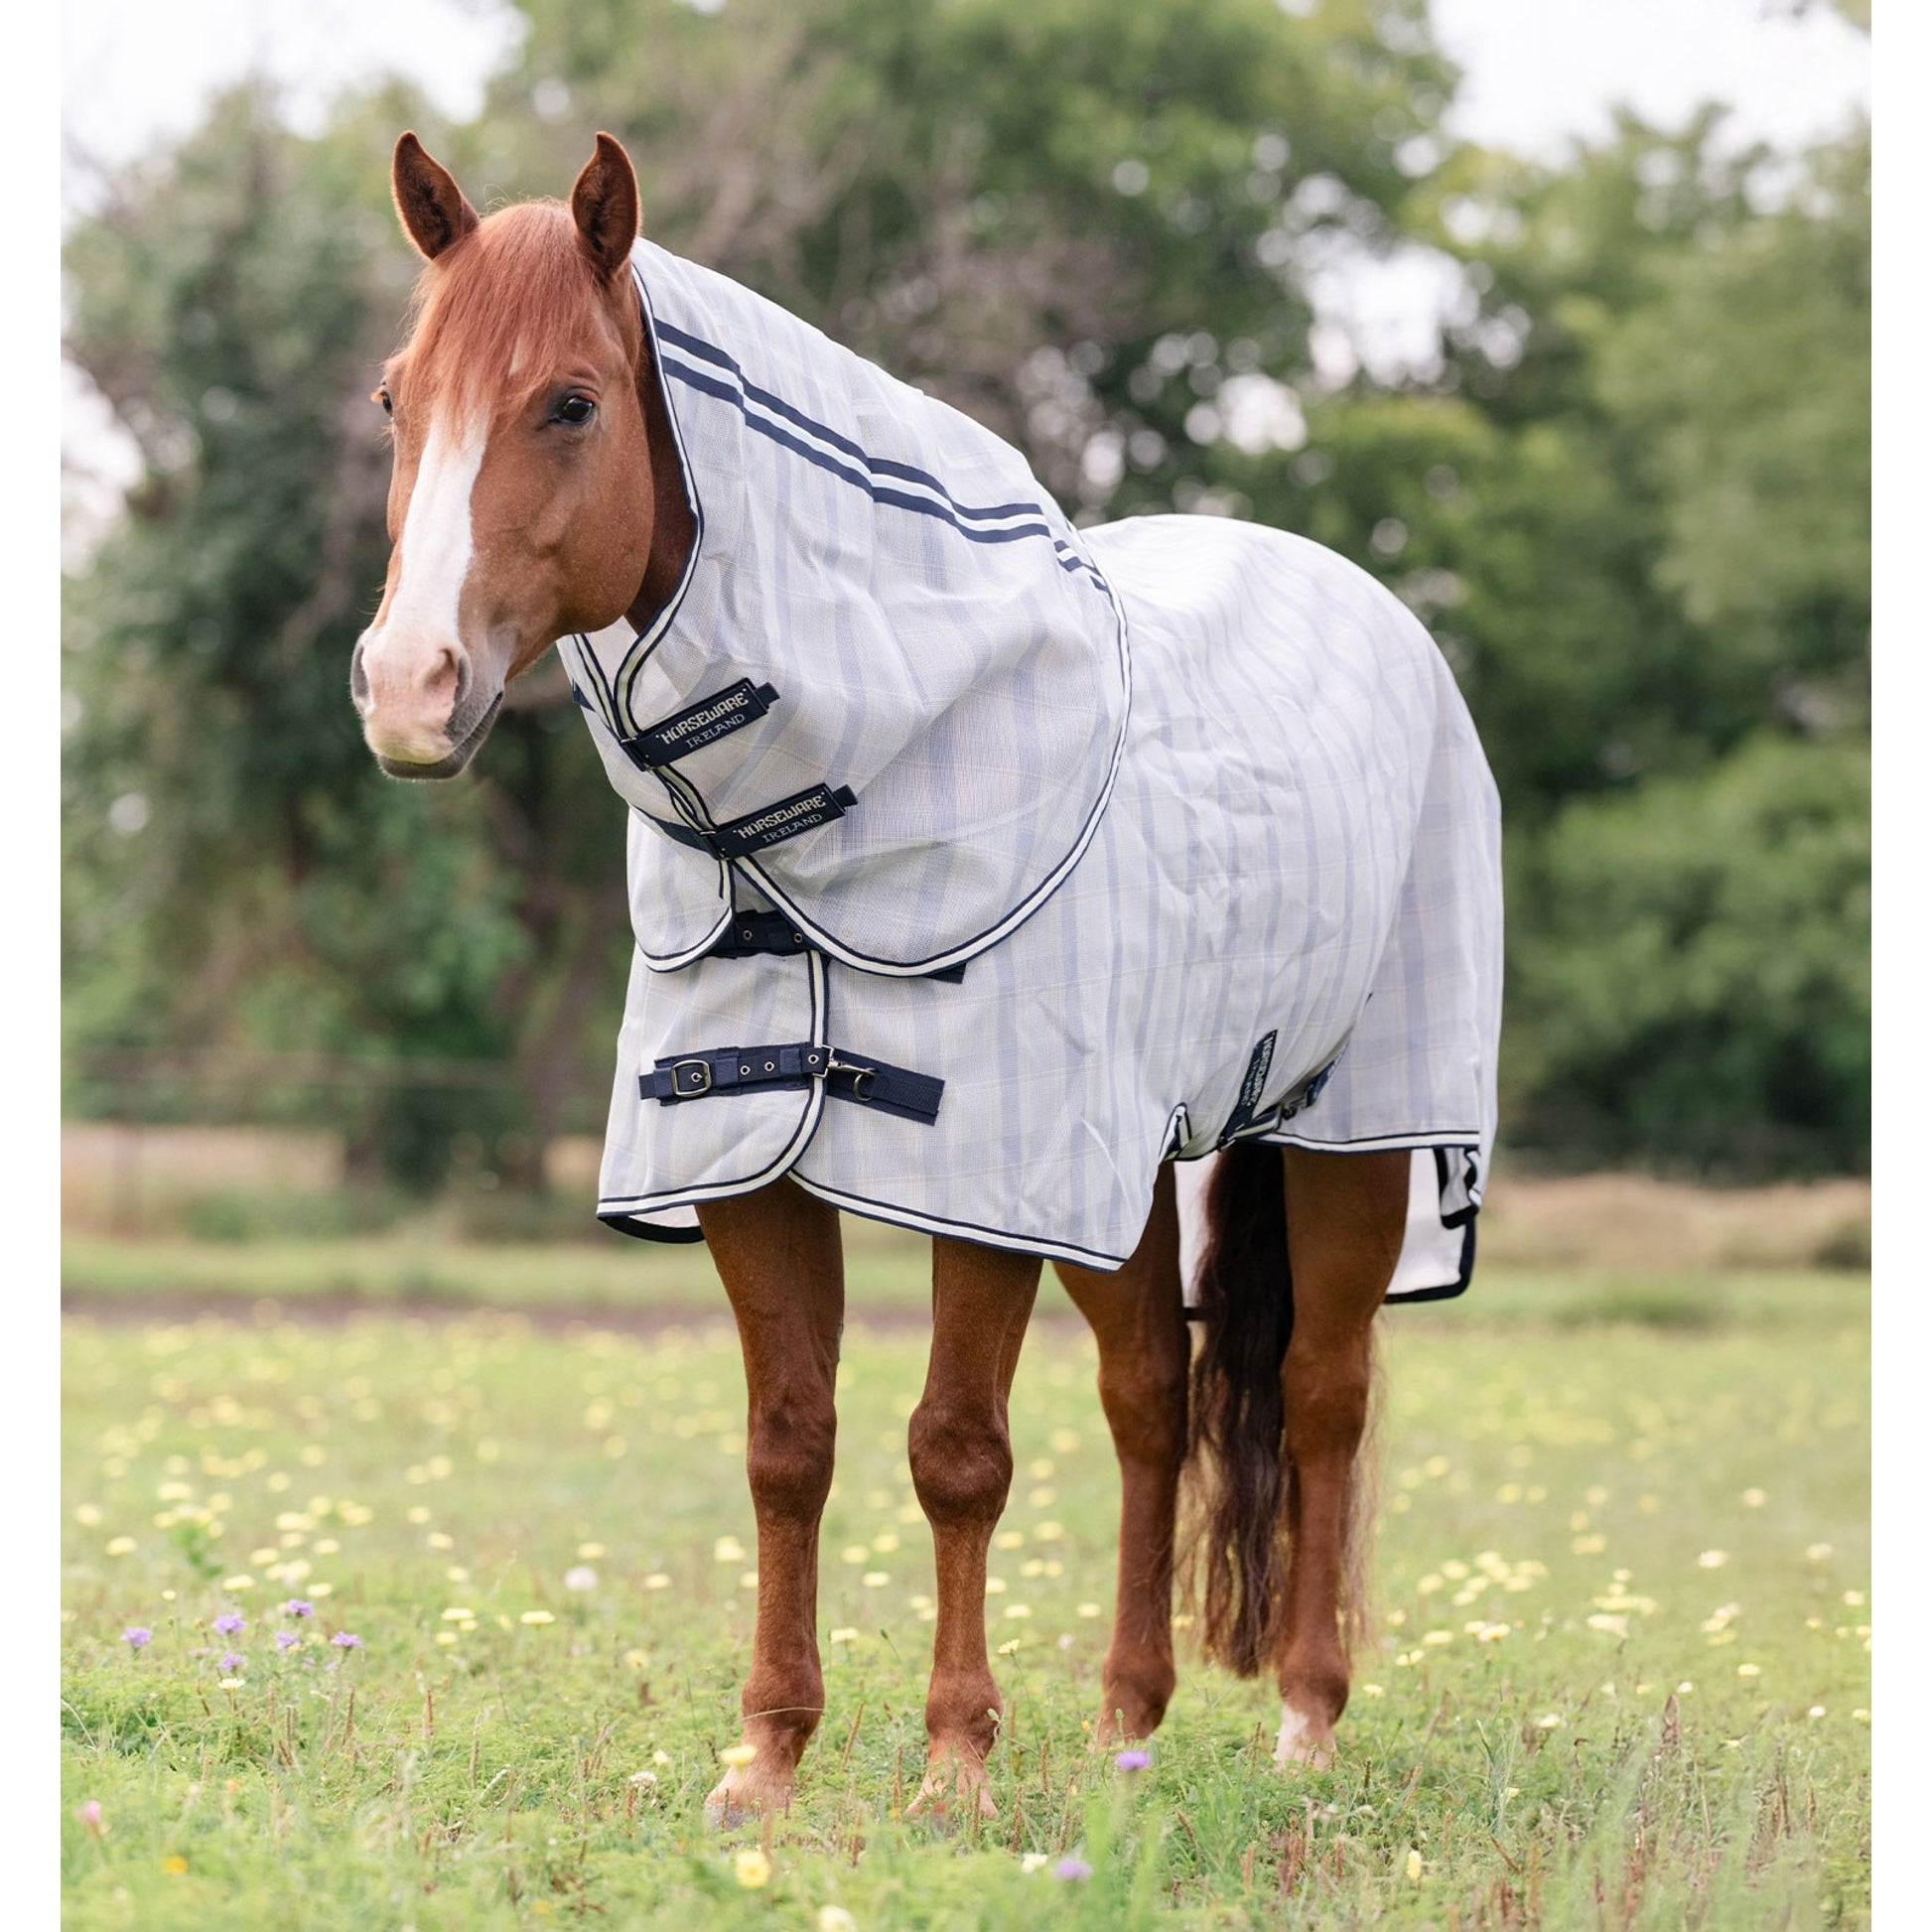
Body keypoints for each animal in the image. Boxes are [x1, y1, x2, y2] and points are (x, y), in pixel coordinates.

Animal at [351, 130, 1500, 1825]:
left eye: (568, 401)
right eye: (395, 398)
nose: (408, 687)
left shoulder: (987, 1174)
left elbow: (956, 1447)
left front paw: (955, 1762)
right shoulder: (747, 1159)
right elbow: (788, 1443)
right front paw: (765, 1758)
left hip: (1342, 1133)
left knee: (1318, 1392)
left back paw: (1303, 1721)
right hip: (1122, 1174)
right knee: (1152, 1396)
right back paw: (1126, 1722)